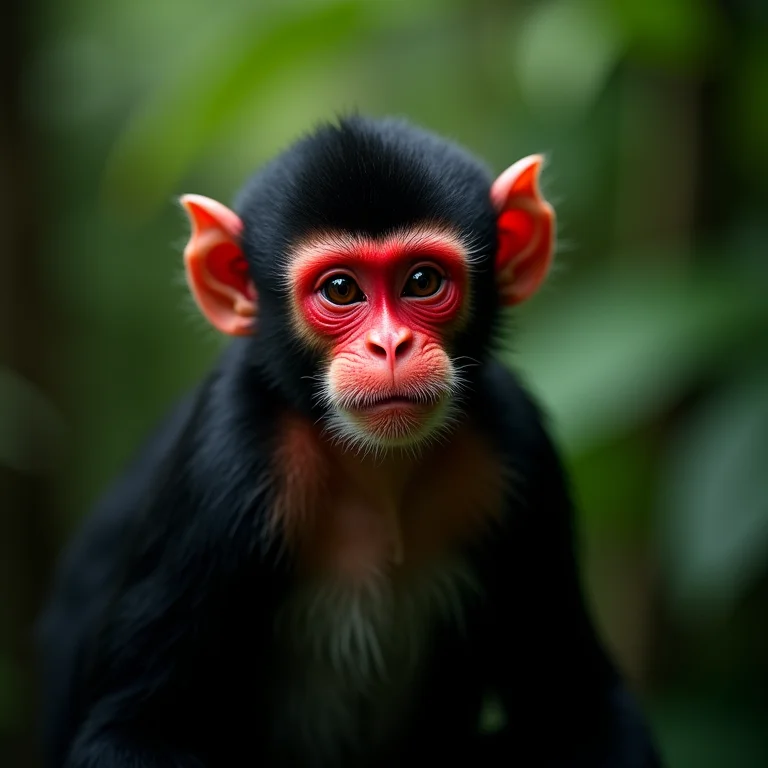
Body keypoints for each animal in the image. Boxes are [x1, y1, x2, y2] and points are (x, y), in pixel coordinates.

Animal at [35, 115, 663, 768]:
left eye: (422, 280)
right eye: (341, 289)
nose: (389, 346)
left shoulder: (518, 442)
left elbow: (584, 705)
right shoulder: (225, 458)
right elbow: (129, 731)